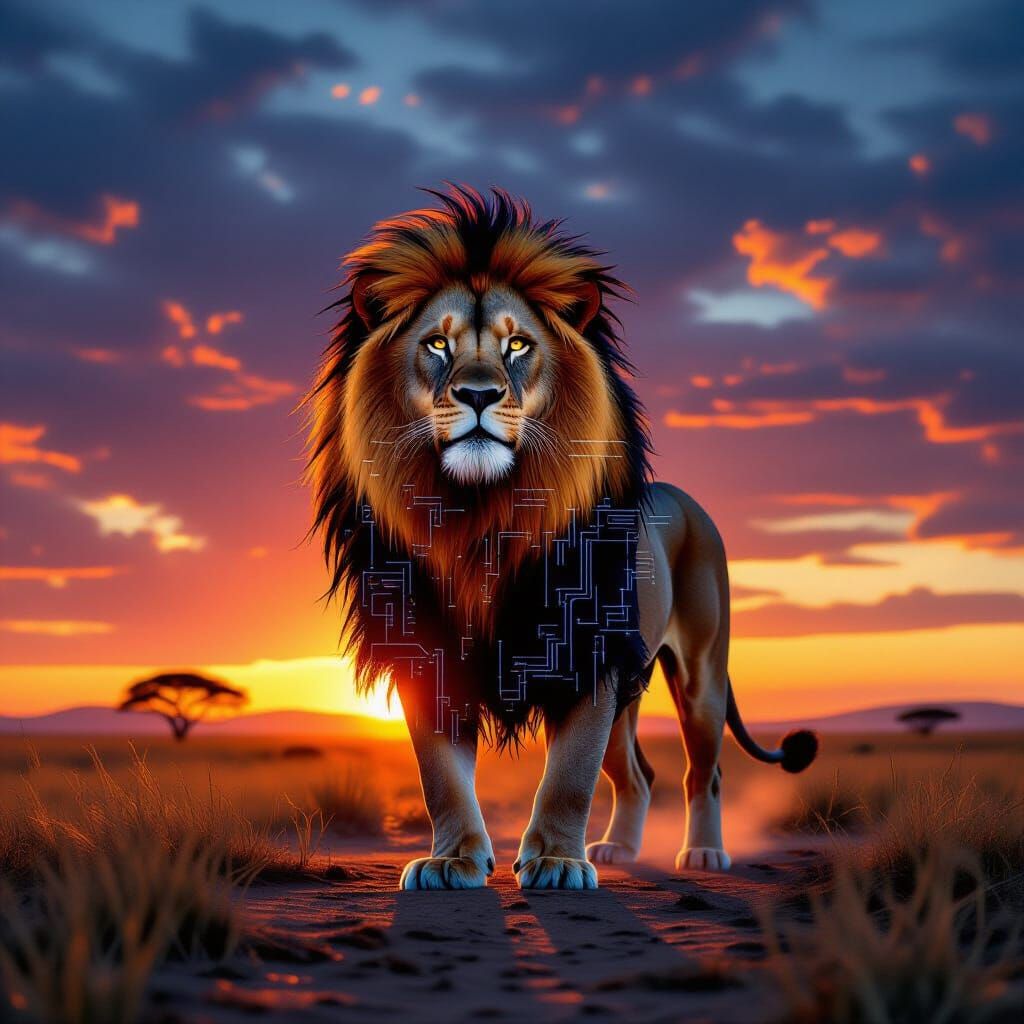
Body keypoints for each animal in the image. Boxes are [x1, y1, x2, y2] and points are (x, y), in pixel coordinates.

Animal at [305, 185, 817, 891]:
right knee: (638, 773)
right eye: (437, 344)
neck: (480, 518)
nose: (478, 394)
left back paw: (704, 854)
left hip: (701, 675)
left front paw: (556, 861)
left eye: (518, 345)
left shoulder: (588, 654)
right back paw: (620, 848)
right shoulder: (424, 650)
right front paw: (453, 859)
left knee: (701, 770)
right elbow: (440, 775)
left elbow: (571, 773)